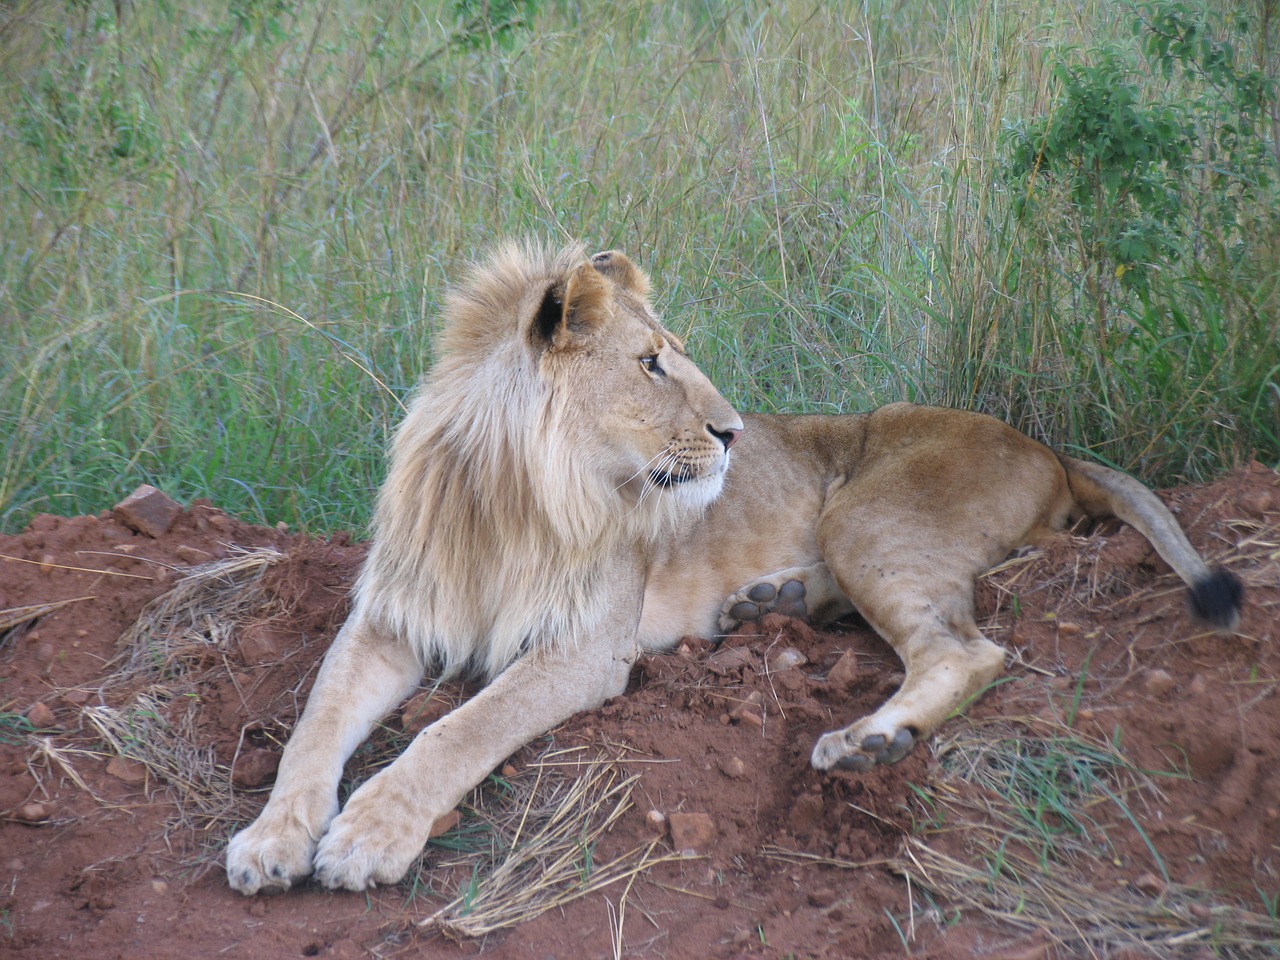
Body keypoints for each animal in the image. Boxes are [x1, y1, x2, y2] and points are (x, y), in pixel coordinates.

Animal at [222, 239, 1239, 896]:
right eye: (649, 364)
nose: (734, 431)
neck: (510, 500)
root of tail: (1046, 445)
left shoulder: (586, 648)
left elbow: (461, 729)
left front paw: (368, 835)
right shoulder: (391, 618)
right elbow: (315, 724)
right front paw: (270, 840)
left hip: (866, 513)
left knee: (968, 651)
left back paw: (868, 739)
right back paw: (769, 602)